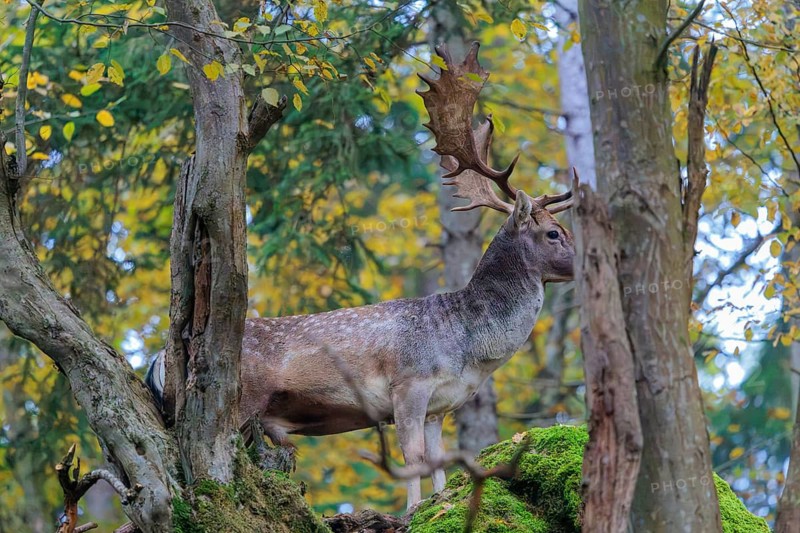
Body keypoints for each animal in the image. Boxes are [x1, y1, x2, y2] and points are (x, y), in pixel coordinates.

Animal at [146, 42, 577, 510]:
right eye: (554, 233)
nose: (585, 261)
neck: (466, 345)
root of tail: (155, 359)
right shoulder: (408, 382)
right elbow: (412, 458)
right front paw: (411, 510)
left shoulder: (441, 406)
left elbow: (438, 463)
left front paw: (437, 504)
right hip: (236, 398)